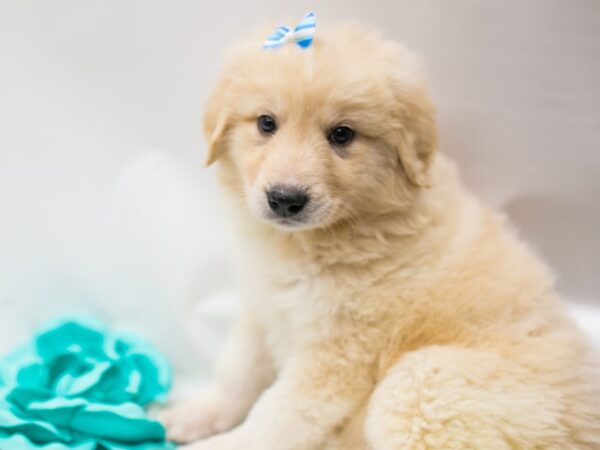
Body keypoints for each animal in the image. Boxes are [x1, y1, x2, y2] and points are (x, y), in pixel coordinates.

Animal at [159, 21, 600, 450]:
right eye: (267, 123)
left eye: (342, 134)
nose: (285, 199)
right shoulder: (263, 304)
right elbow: (236, 370)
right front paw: (194, 415)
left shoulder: (338, 355)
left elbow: (276, 415)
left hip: (421, 381)